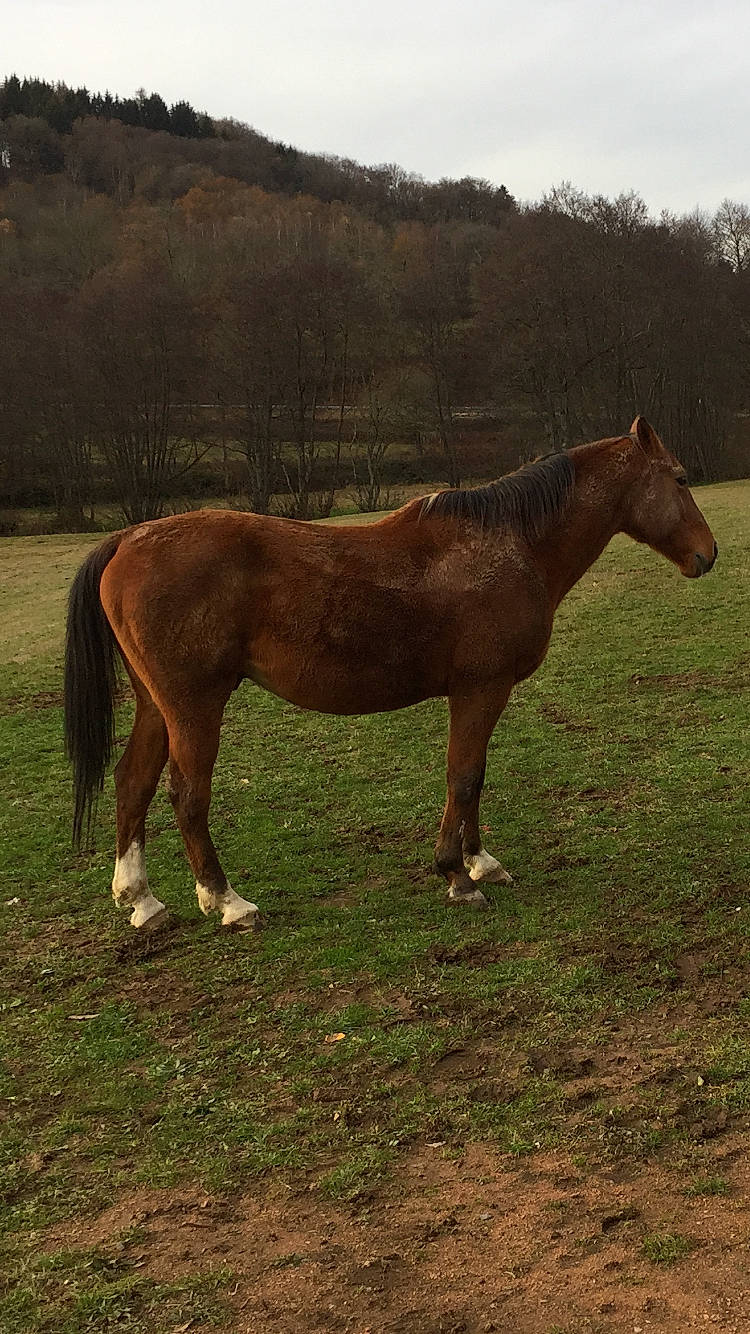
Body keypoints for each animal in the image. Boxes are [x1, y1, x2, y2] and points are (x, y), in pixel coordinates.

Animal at [64, 416, 717, 931]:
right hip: (194, 708)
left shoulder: (479, 694)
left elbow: (474, 777)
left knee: (133, 782)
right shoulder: (481, 688)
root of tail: (128, 538)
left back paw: (142, 899)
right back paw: (227, 902)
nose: (707, 554)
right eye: (681, 478)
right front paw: (457, 876)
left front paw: (480, 861)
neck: (510, 545)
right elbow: (463, 776)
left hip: (157, 706)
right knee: (187, 796)